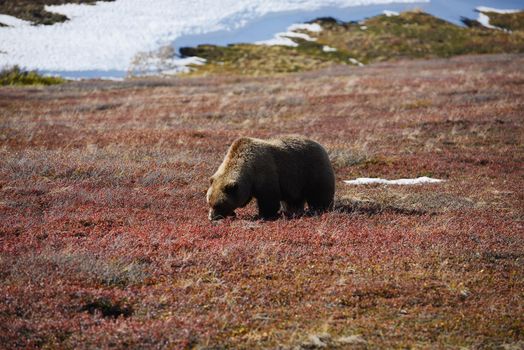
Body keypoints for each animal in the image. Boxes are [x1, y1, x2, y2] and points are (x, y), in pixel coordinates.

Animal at [206, 135, 334, 220]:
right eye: (209, 202)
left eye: (218, 204)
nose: (211, 218)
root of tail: (320, 145)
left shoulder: (265, 174)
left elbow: (268, 199)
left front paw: (264, 215)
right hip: (296, 182)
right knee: (293, 200)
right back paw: (293, 211)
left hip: (312, 171)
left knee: (320, 194)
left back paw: (320, 209)